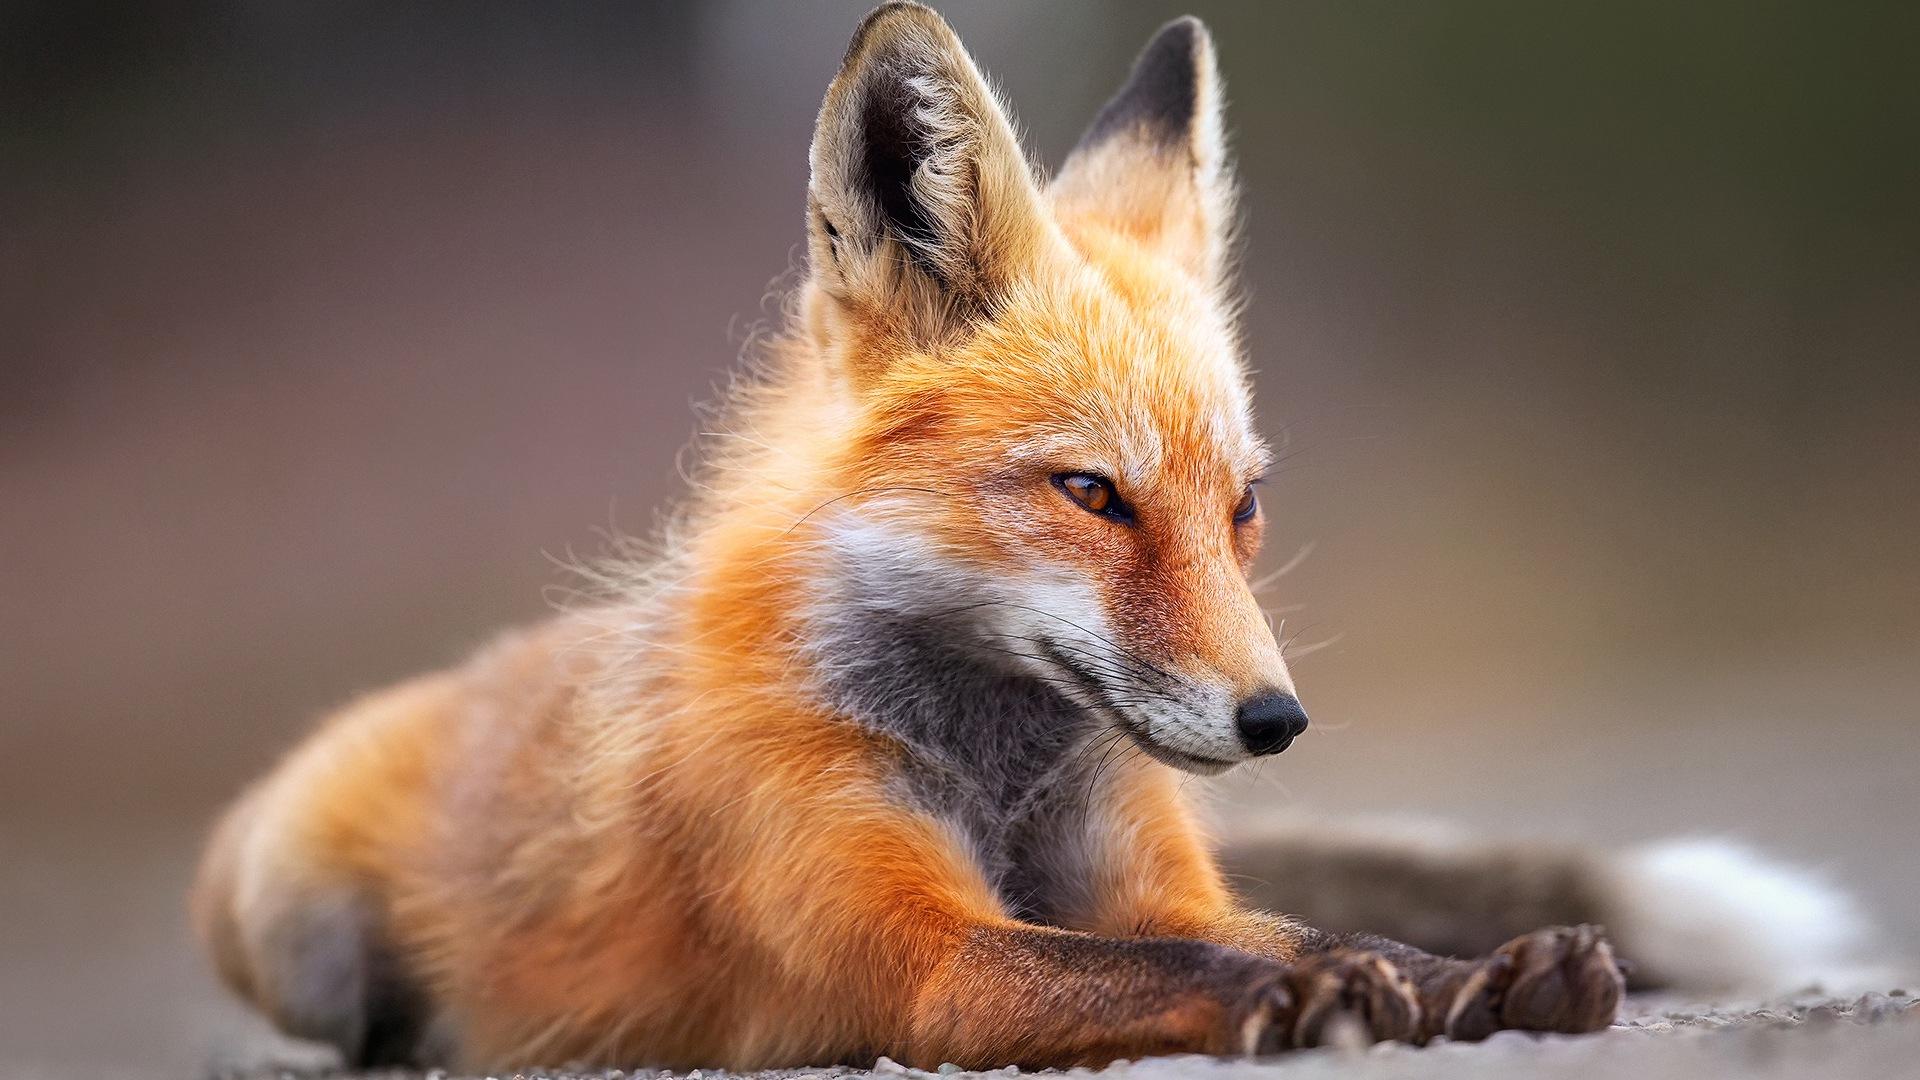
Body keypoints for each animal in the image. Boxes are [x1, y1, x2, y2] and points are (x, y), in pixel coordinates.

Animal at [192, 4, 1880, 1072]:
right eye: (1092, 494)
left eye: (1242, 505)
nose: (1276, 720)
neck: (995, 762)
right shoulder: (918, 954)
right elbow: (1185, 966)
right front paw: (1319, 996)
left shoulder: (1151, 873)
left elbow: (1288, 923)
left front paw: (1476, 976)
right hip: (292, 919)